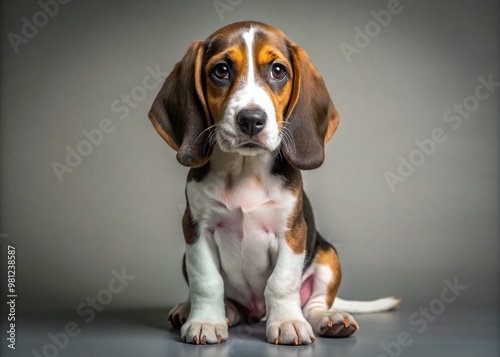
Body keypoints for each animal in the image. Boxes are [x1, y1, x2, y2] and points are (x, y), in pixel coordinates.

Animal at [148, 20, 398, 344]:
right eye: (221, 70)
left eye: (278, 71)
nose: (251, 120)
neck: (245, 170)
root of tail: (254, 311)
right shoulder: (196, 228)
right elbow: (206, 280)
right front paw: (205, 321)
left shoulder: (291, 233)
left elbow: (281, 283)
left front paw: (288, 322)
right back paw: (206, 311)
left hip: (328, 256)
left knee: (315, 303)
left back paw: (329, 319)